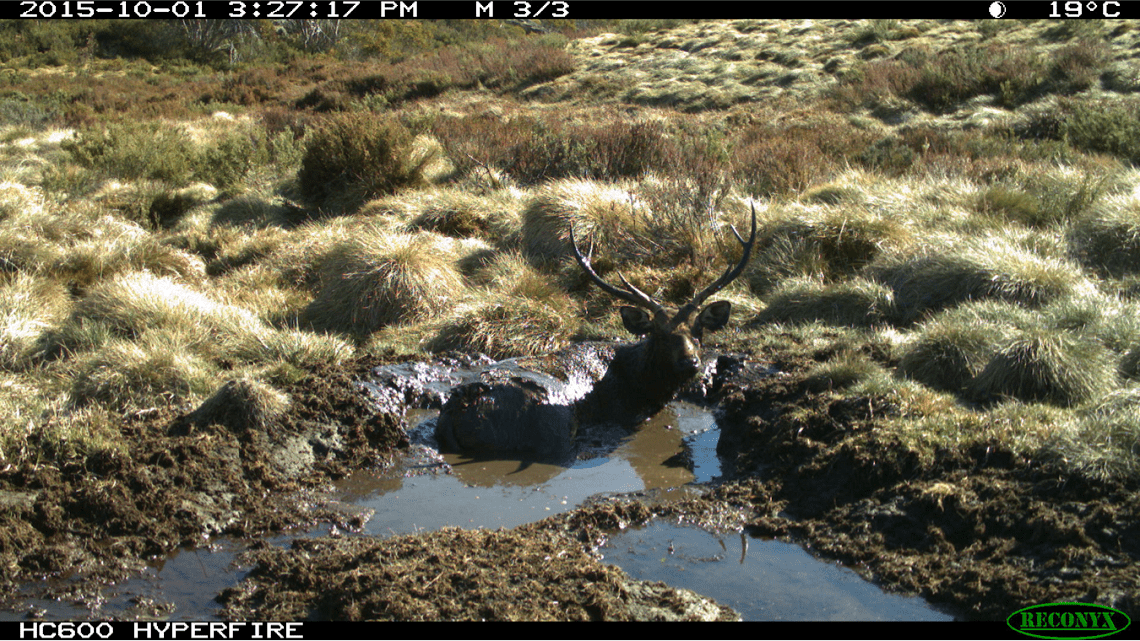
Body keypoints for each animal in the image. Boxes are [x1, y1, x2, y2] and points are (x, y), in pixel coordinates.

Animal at [435, 204, 757, 459]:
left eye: (699, 330)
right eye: (658, 334)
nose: (690, 362)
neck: (645, 388)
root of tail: (461, 405)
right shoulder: (626, 412)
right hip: (552, 426)